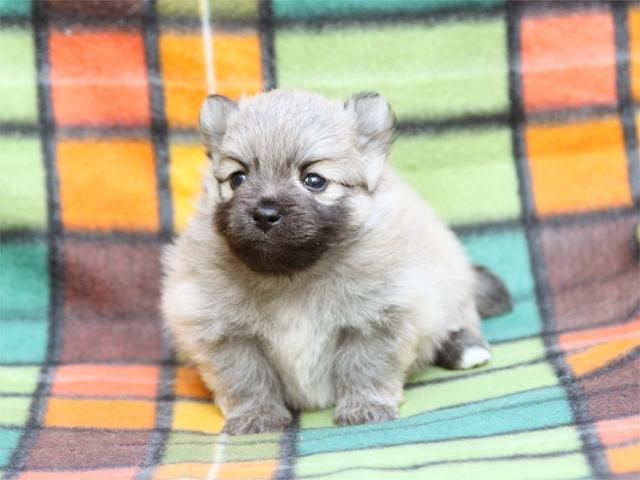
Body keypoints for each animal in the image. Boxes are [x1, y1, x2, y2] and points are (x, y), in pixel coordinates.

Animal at [161, 89, 512, 435]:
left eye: (314, 180)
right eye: (238, 178)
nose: (264, 213)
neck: (292, 274)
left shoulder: (377, 318)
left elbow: (365, 365)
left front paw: (365, 407)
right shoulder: (226, 332)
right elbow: (246, 377)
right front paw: (257, 415)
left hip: (450, 282)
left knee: (462, 319)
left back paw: (466, 348)